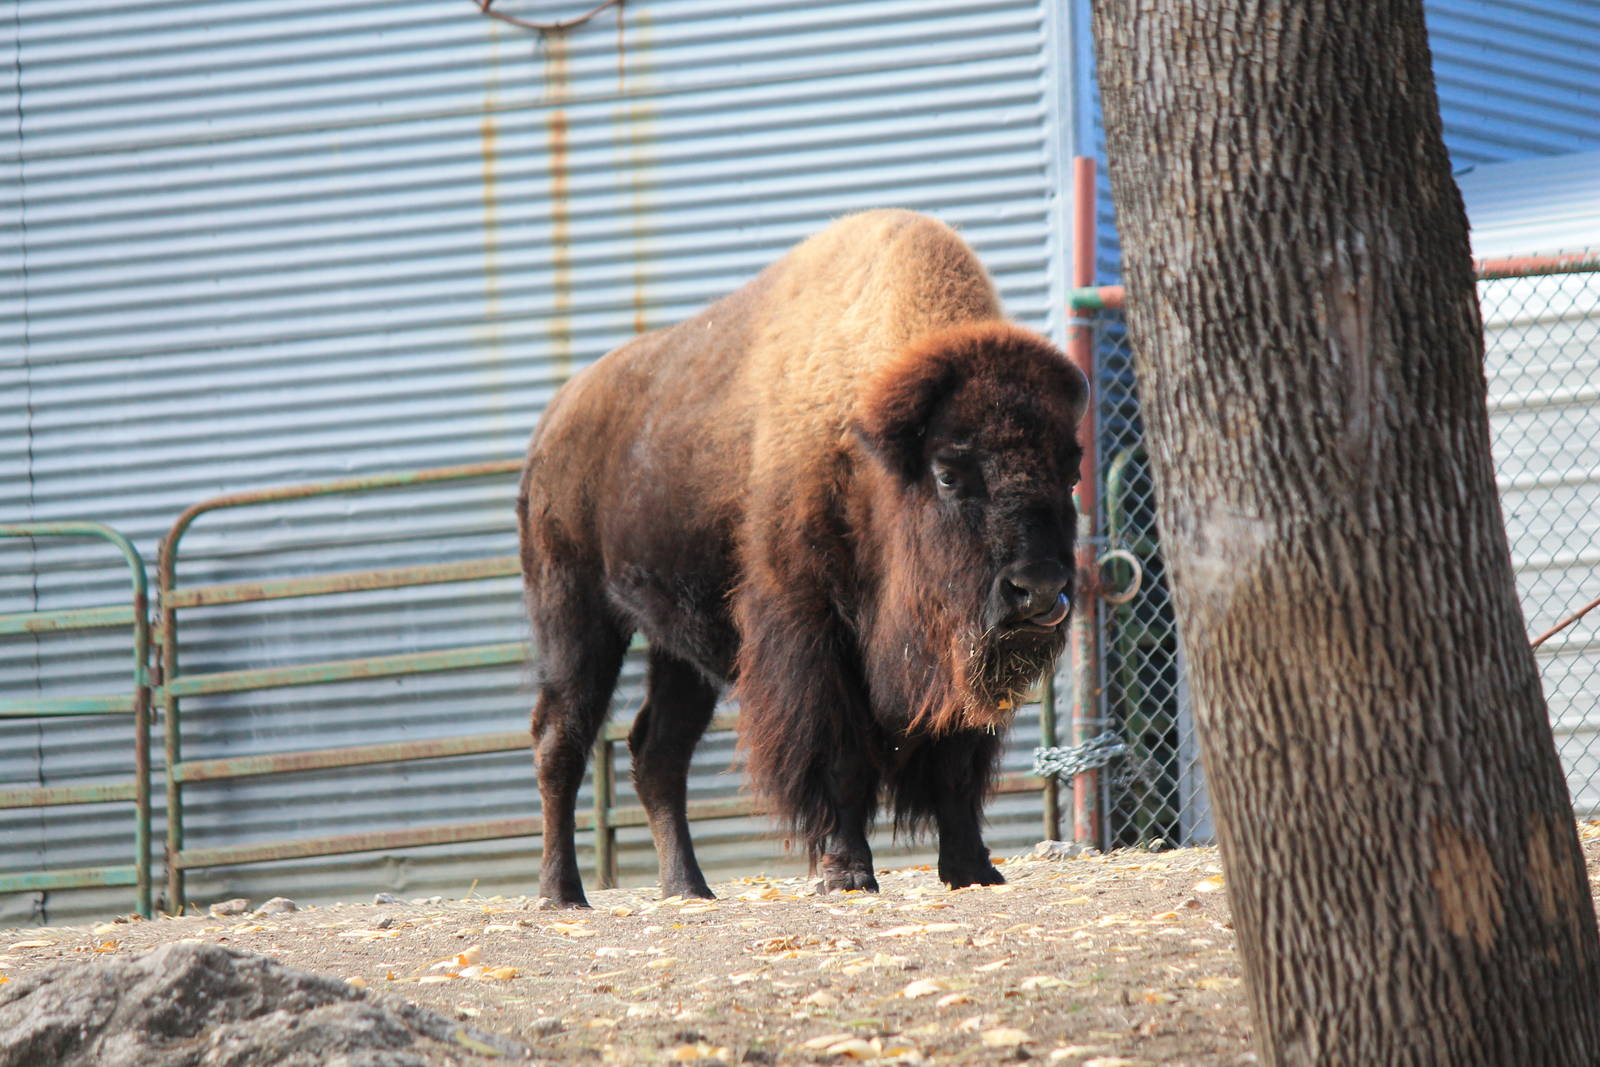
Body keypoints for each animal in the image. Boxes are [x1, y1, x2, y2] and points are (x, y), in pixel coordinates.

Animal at [518, 209, 1086, 906]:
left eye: (1071, 472)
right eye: (949, 473)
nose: (1038, 588)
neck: (869, 454)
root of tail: (553, 425)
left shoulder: (949, 654)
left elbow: (955, 760)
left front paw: (974, 870)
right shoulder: (814, 632)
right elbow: (839, 755)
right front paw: (847, 873)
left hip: (678, 650)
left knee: (658, 751)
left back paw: (689, 888)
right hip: (574, 614)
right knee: (561, 740)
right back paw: (562, 892)